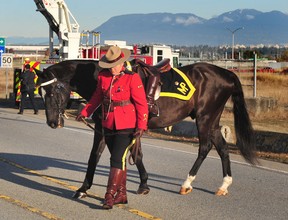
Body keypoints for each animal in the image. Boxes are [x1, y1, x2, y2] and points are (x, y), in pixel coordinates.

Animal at [36, 58, 256, 198]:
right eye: (42, 91)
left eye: (53, 91)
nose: (52, 122)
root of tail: (226, 73)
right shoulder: (107, 127)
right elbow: (106, 156)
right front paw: (84, 188)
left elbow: (114, 155)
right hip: (213, 121)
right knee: (223, 148)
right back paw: (224, 185)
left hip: (205, 118)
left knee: (205, 147)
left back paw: (187, 183)